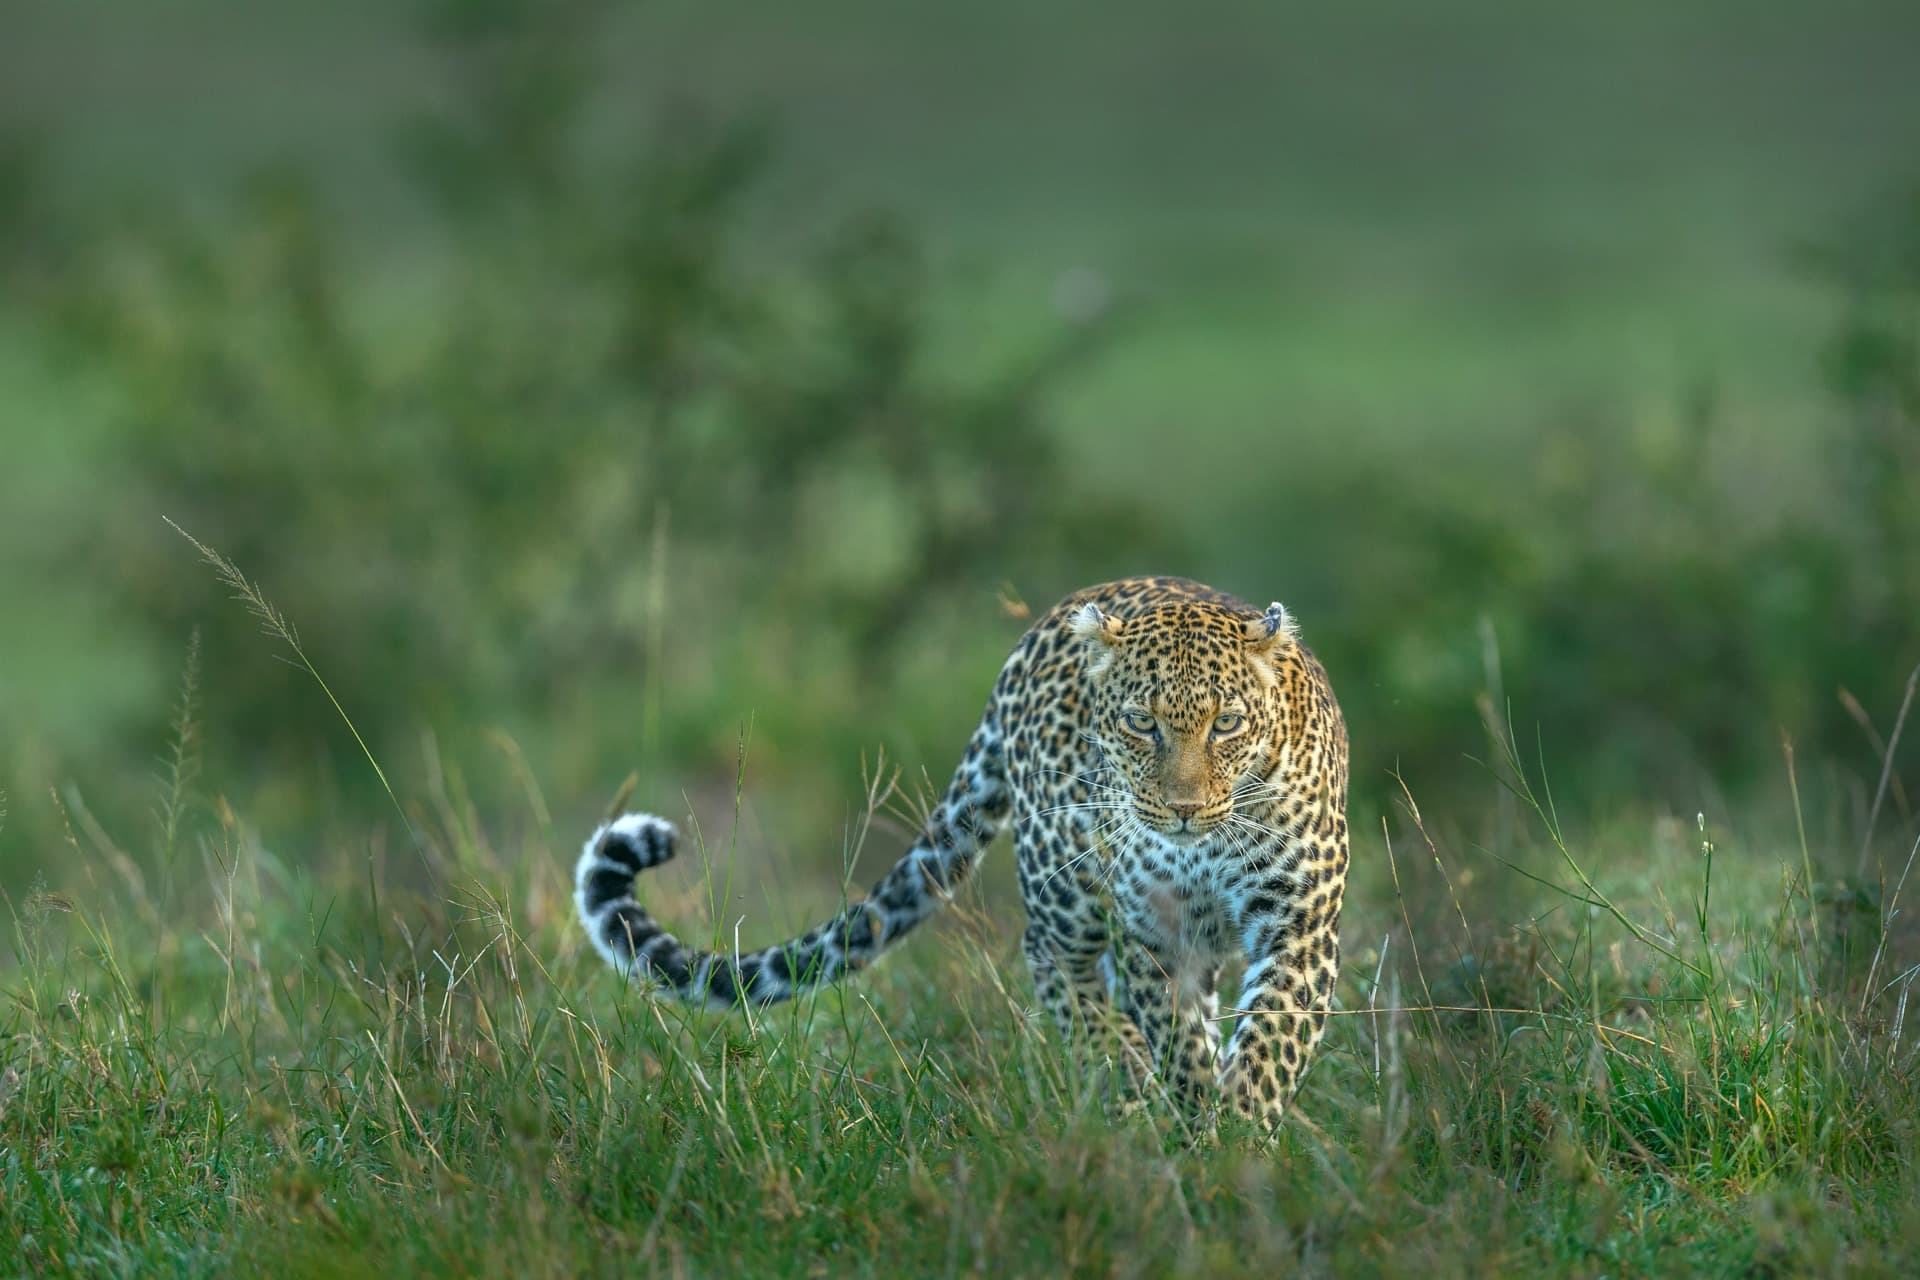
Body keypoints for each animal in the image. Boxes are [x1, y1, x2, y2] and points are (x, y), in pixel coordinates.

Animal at [574, 576, 1349, 1129]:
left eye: (1227, 724)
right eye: (1141, 723)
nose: (1184, 810)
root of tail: (1042, 625)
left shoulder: (1297, 921)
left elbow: (1271, 1045)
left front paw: (1238, 1138)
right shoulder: (1155, 932)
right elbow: (1179, 1043)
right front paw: (1198, 1127)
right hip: (1065, 884)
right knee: (1059, 967)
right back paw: (1123, 1081)